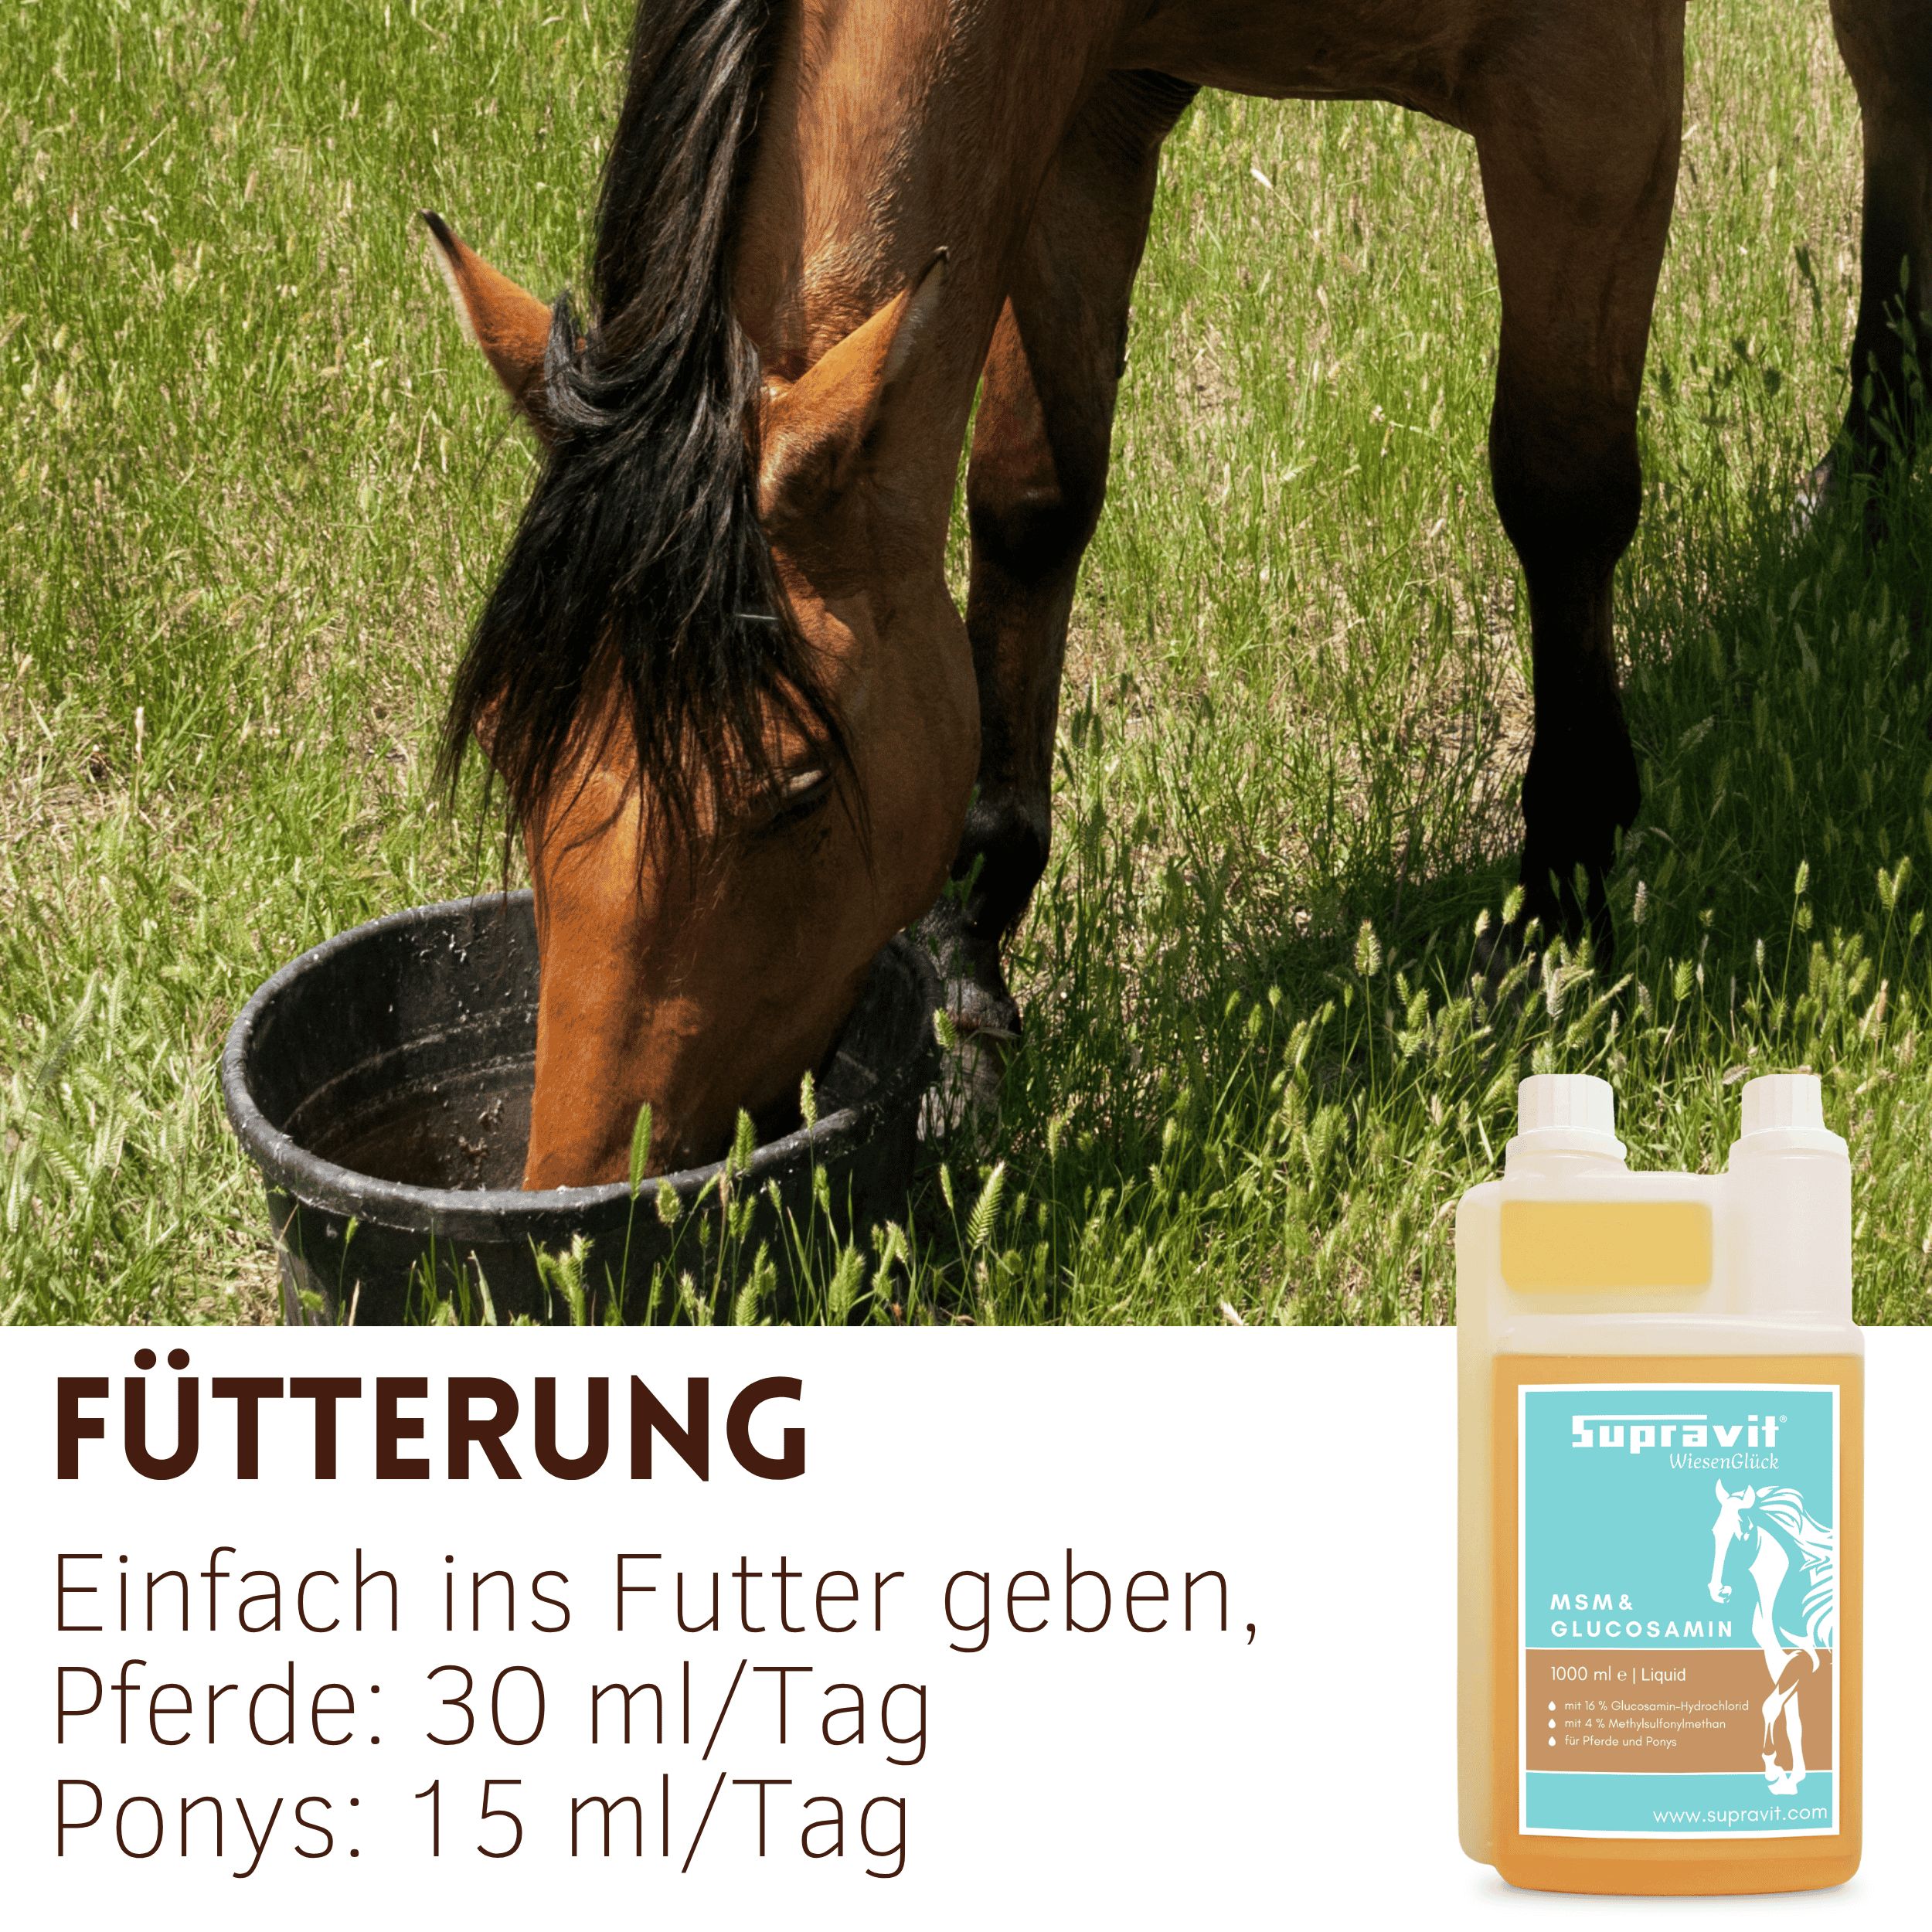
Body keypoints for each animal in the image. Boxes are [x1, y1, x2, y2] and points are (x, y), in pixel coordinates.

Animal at [422, 0, 1932, 1186]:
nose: (582, 1180)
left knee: (1884, 73)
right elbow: (1032, 503)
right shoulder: (1087, 105)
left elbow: (1558, 488)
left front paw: (1564, 898)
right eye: (510, 749)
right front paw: (970, 963)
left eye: (793, 789)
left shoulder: (1587, 94)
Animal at [1708, 1479, 1838, 1794]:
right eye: (1715, 1531)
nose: (1718, 1591)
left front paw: (1773, 1769)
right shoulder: (1779, 1661)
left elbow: (1769, 1707)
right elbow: (1792, 1721)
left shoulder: (1806, 1659)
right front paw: (1794, 1776)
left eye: (1742, 1534)